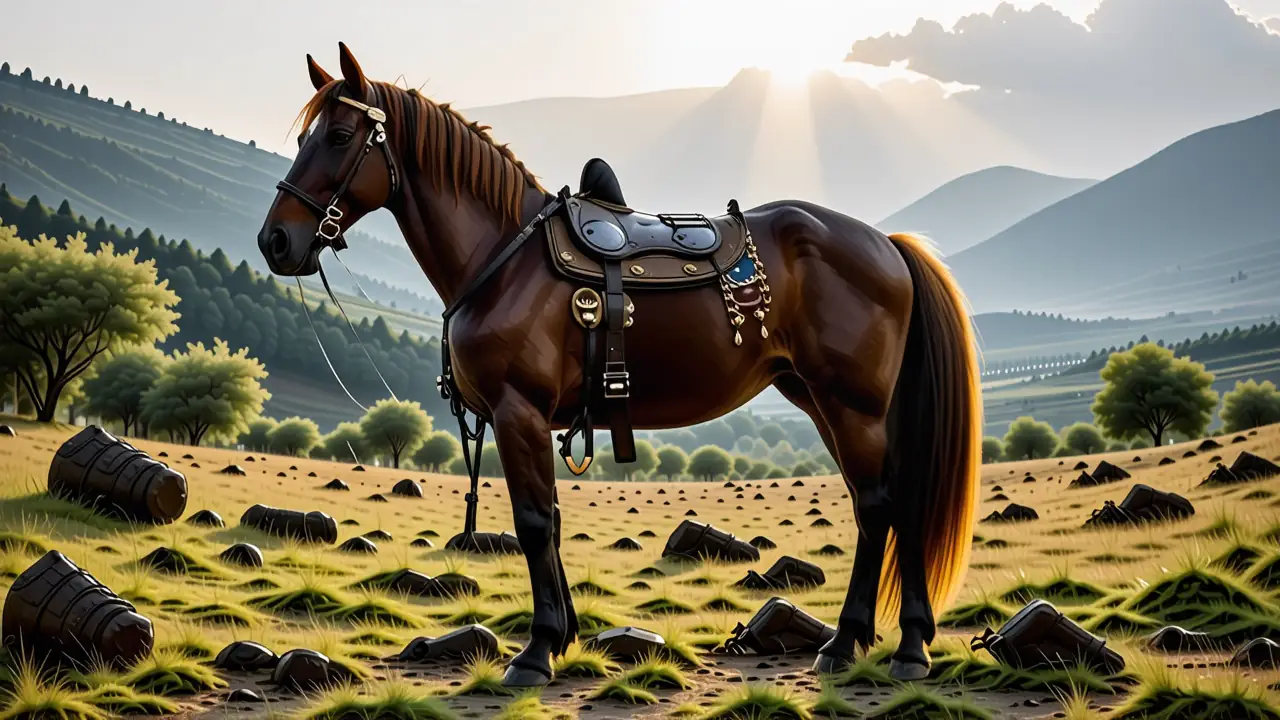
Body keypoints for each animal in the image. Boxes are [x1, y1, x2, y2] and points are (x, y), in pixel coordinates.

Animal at [257, 43, 981, 687]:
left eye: (341, 135)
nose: (276, 240)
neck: (505, 257)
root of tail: (884, 243)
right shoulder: (530, 422)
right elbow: (549, 520)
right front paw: (563, 635)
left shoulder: (518, 413)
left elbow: (533, 523)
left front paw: (536, 651)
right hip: (822, 399)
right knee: (881, 504)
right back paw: (878, 640)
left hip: (852, 404)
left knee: (886, 505)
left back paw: (887, 645)